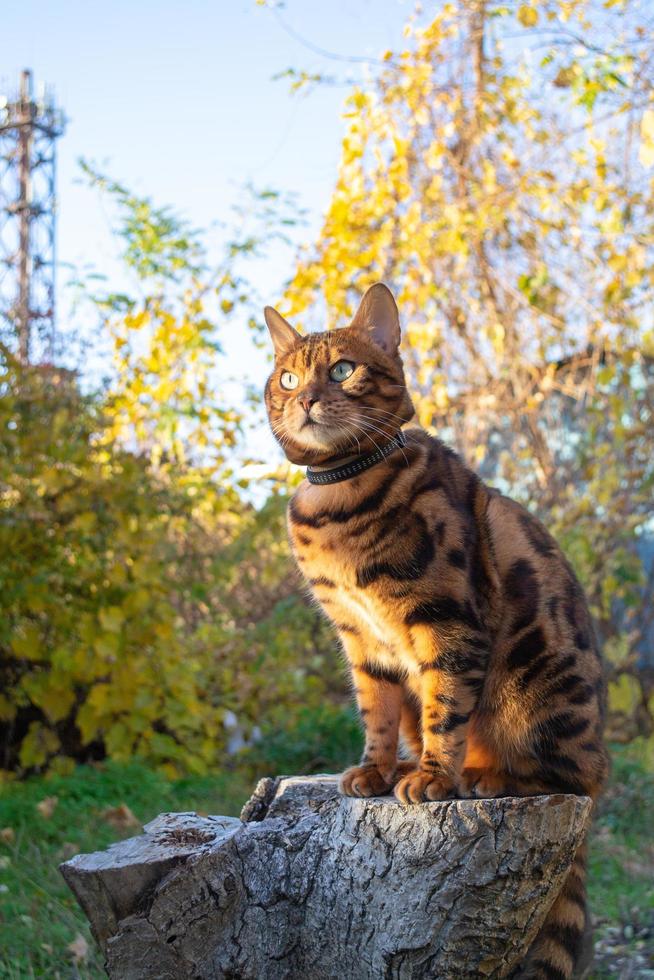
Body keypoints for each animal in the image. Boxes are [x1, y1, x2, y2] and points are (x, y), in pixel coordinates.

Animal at [262, 284, 608, 980]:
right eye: (287, 377)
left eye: (342, 369)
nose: (306, 398)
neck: (338, 496)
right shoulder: (360, 639)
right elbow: (376, 711)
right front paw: (375, 769)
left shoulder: (446, 619)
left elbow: (444, 711)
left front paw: (431, 778)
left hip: (539, 689)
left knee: (576, 775)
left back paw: (486, 779)